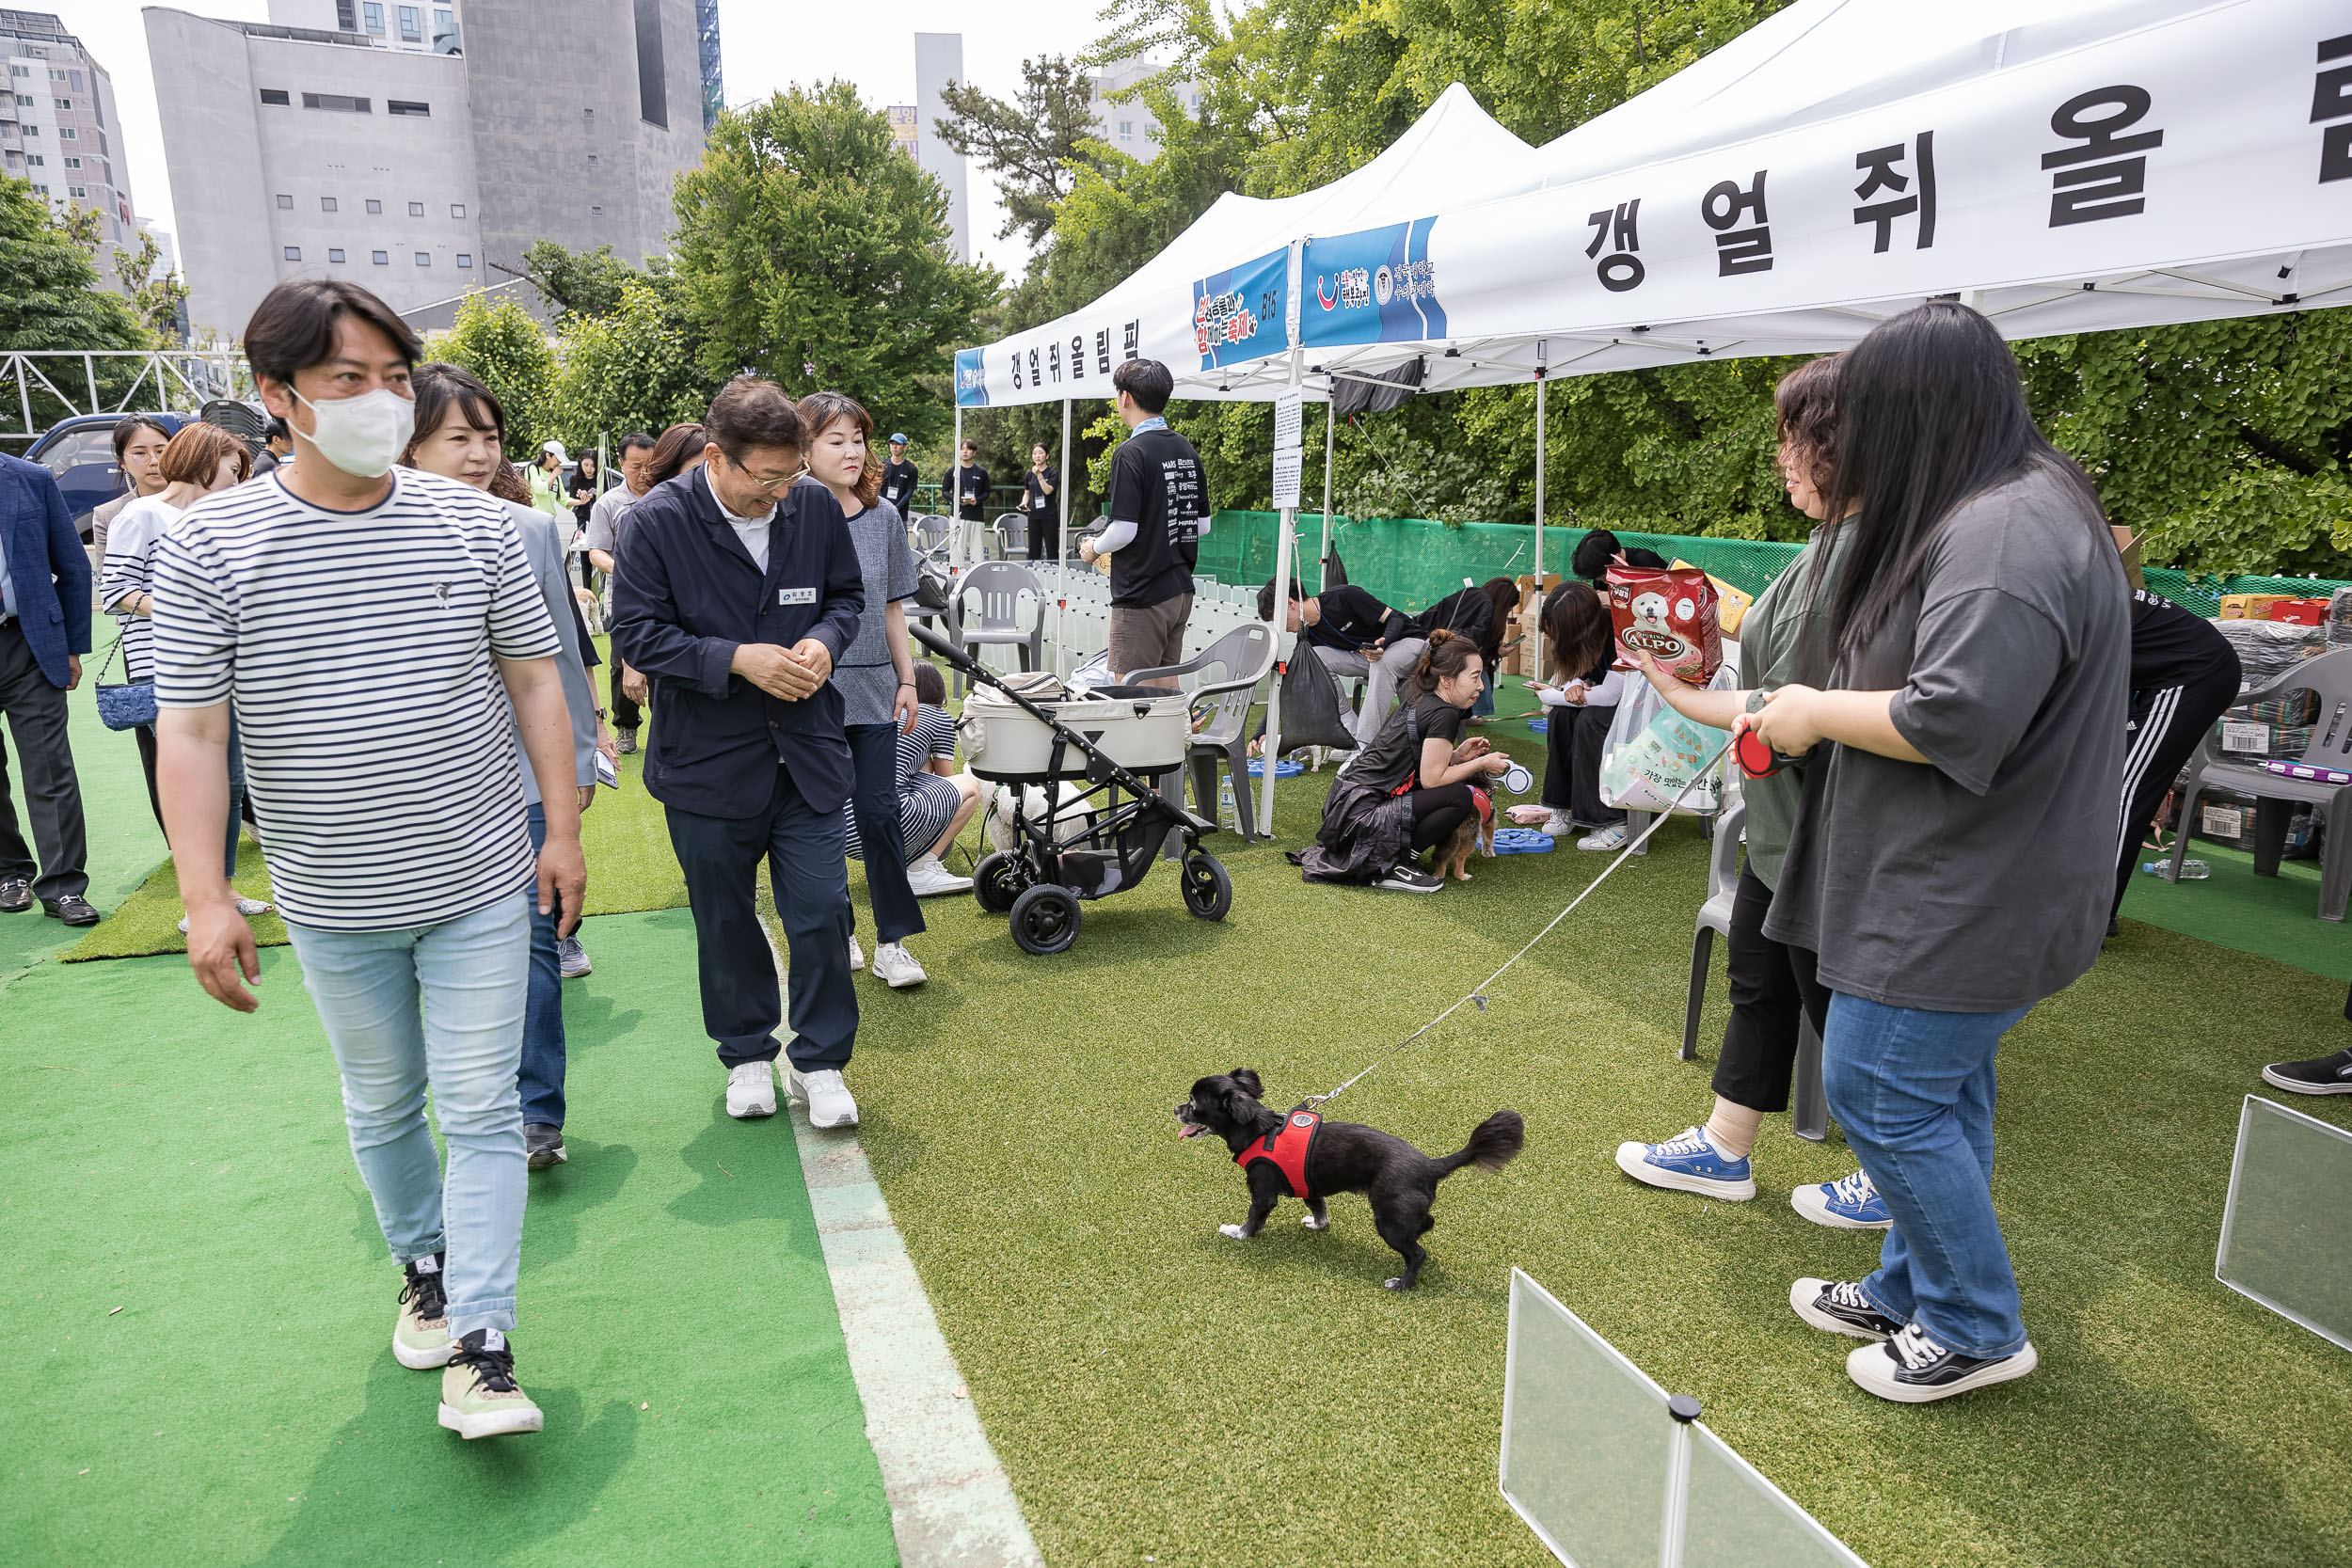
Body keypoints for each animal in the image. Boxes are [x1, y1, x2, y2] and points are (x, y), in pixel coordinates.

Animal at [1176, 1071, 1524, 1297]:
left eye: (1194, 1104)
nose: (1175, 1109)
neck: (1260, 1131)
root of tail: (1431, 1165)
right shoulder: (1311, 1186)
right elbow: (1319, 1208)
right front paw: (1318, 1225)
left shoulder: (1262, 1193)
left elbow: (1253, 1218)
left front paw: (1238, 1233)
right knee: (1426, 1226)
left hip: (1388, 1220)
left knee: (1417, 1254)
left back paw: (1402, 1284)